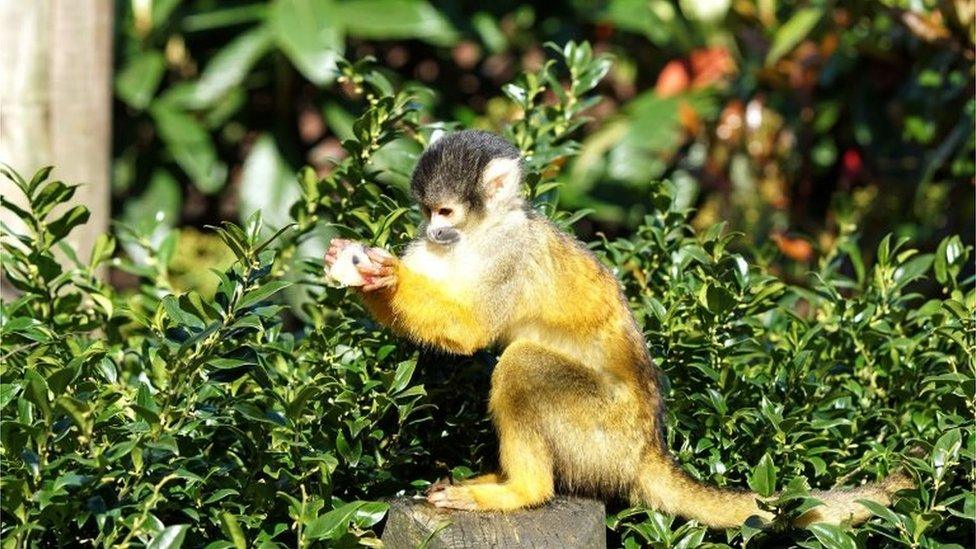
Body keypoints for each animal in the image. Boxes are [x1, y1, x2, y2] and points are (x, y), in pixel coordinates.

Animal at [324, 131, 912, 528]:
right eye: (426, 212)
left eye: (446, 211)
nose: (434, 231)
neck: (481, 232)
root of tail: (649, 448)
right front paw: (360, 270)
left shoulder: (509, 254)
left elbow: (469, 330)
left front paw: (385, 277)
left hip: (603, 433)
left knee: (523, 364)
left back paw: (523, 491)